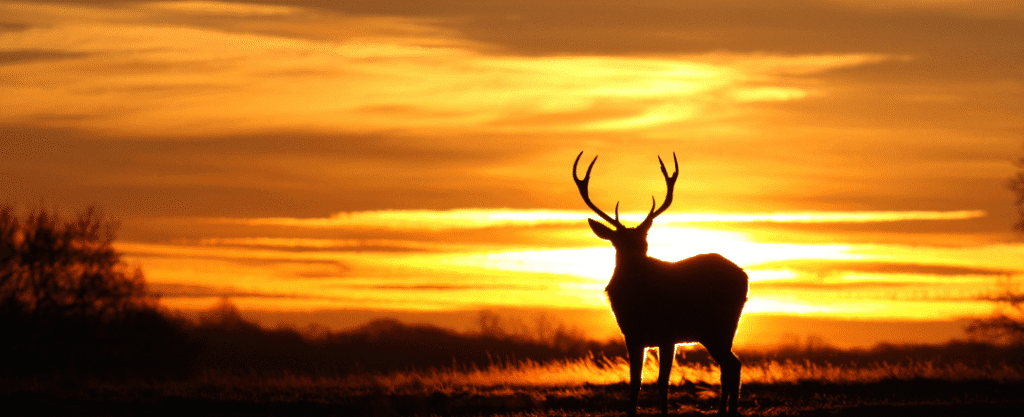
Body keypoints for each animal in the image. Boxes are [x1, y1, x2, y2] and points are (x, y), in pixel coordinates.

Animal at [572, 152, 749, 416]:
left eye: (644, 241)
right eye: (619, 243)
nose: (637, 264)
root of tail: (745, 277)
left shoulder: (667, 334)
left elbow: (662, 382)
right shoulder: (633, 336)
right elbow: (635, 382)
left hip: (718, 327)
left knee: (732, 365)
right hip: (720, 330)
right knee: (730, 365)